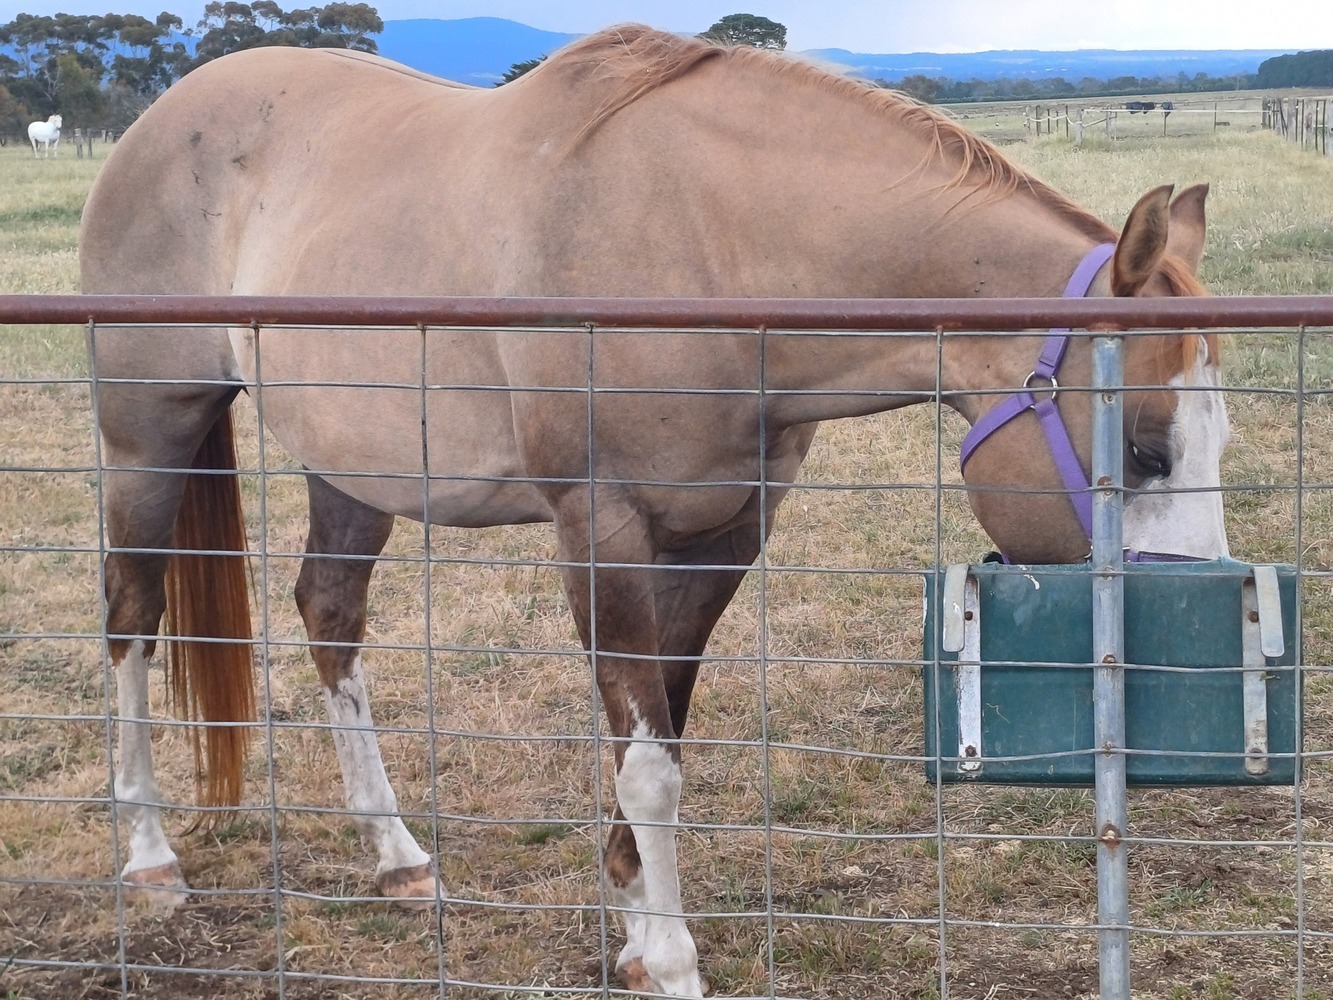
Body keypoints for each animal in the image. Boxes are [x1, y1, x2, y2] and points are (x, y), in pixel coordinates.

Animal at [79, 25, 1229, 998]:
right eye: (1144, 450)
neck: (707, 244)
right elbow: (648, 766)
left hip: (351, 467)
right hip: (148, 434)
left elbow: (662, 736)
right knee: (131, 619)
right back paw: (148, 856)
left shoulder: (719, 536)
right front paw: (671, 960)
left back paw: (398, 855)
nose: (1189, 667)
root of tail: (163, 119)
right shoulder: (603, 532)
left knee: (329, 616)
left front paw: (634, 927)